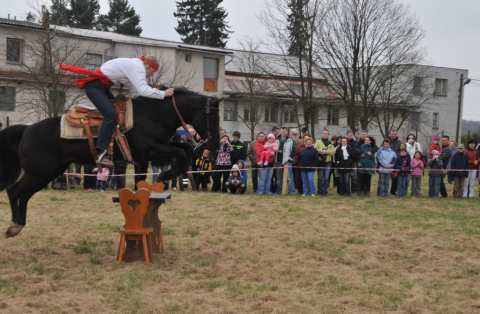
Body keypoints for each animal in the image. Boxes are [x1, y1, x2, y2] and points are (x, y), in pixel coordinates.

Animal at [0, 87, 221, 237]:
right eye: (214, 117)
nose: (216, 144)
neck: (153, 114)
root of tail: (27, 129)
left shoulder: (161, 146)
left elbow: (185, 151)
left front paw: (166, 176)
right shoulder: (150, 150)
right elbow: (182, 153)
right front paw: (165, 175)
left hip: (48, 172)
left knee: (21, 194)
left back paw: (17, 225)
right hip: (40, 173)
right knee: (15, 191)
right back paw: (14, 225)